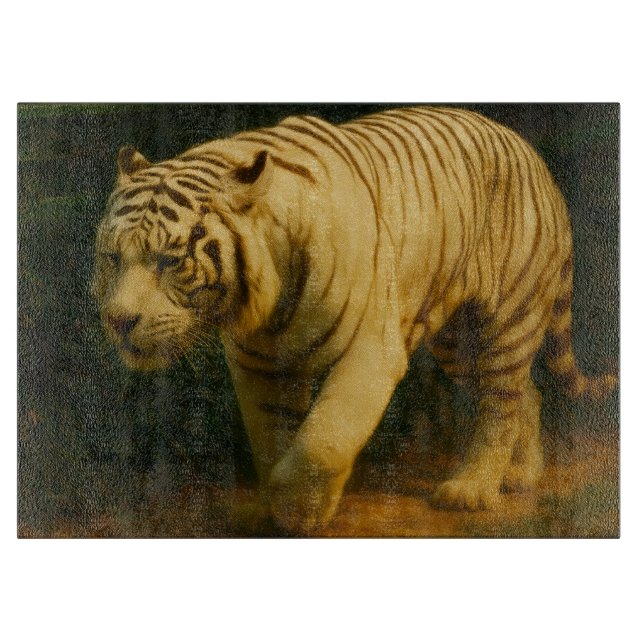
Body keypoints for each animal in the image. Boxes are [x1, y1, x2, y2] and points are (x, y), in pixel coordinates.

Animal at [93, 106, 617, 534]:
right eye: (113, 258)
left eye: (167, 260)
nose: (118, 320)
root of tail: (530, 151)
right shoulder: (259, 365)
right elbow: (271, 436)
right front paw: (274, 507)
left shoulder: (370, 352)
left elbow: (321, 442)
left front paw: (301, 510)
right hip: (459, 343)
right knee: (524, 392)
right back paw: (520, 476)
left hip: (506, 318)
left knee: (501, 402)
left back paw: (471, 490)